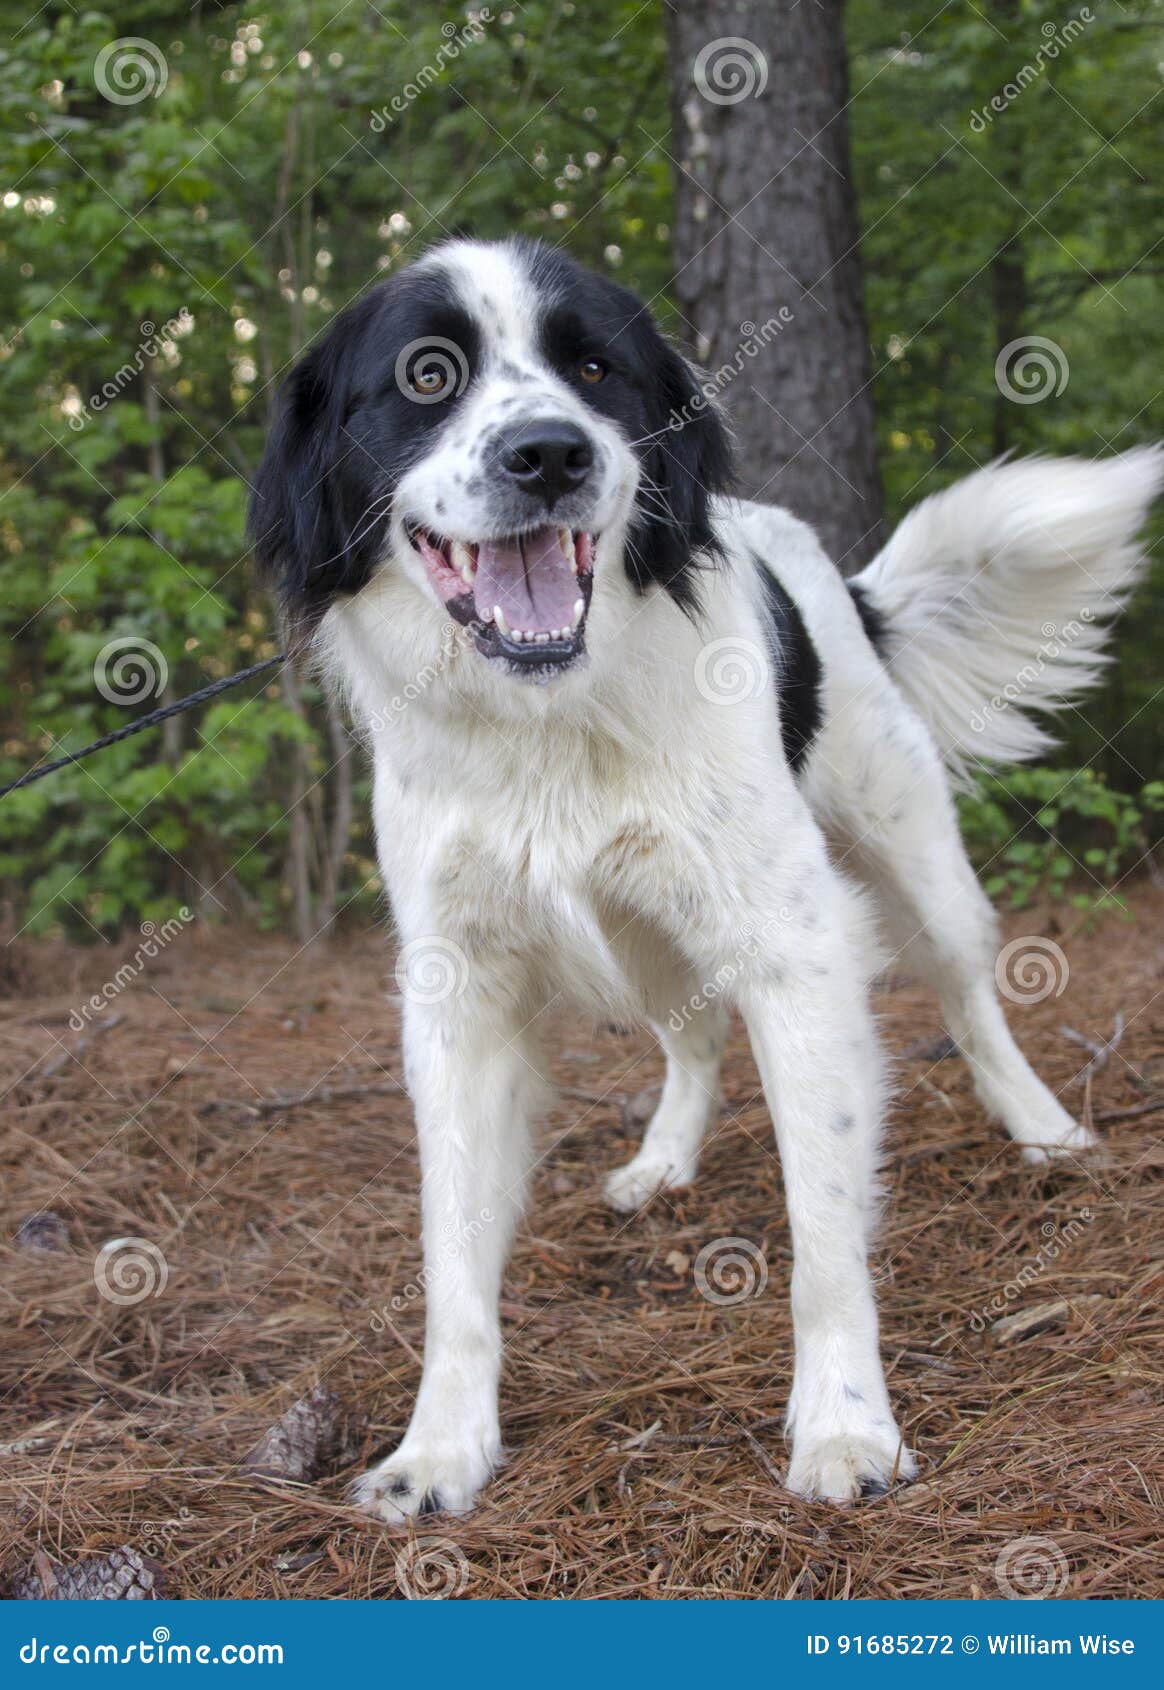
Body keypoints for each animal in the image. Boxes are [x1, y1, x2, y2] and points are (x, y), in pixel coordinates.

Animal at [251, 234, 1155, 1521]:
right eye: (427, 377)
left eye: (594, 367)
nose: (551, 453)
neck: (551, 719)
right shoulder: (457, 994)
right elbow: (452, 1254)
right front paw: (439, 1447)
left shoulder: (796, 953)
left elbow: (825, 1227)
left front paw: (846, 1425)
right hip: (647, 939)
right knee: (692, 1036)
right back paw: (666, 1159)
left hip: (912, 861)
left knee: (972, 997)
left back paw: (1042, 1127)